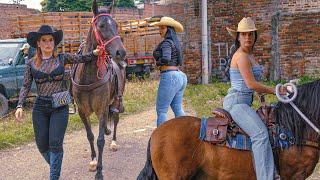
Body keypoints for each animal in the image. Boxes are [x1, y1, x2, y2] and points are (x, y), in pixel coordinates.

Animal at [71, 0, 125, 179]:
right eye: (101, 25)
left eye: (116, 25)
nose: (121, 52)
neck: (88, 76)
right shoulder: (82, 111)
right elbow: (90, 136)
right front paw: (94, 161)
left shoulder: (101, 109)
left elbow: (100, 140)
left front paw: (100, 171)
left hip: (117, 99)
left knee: (115, 117)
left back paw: (113, 141)